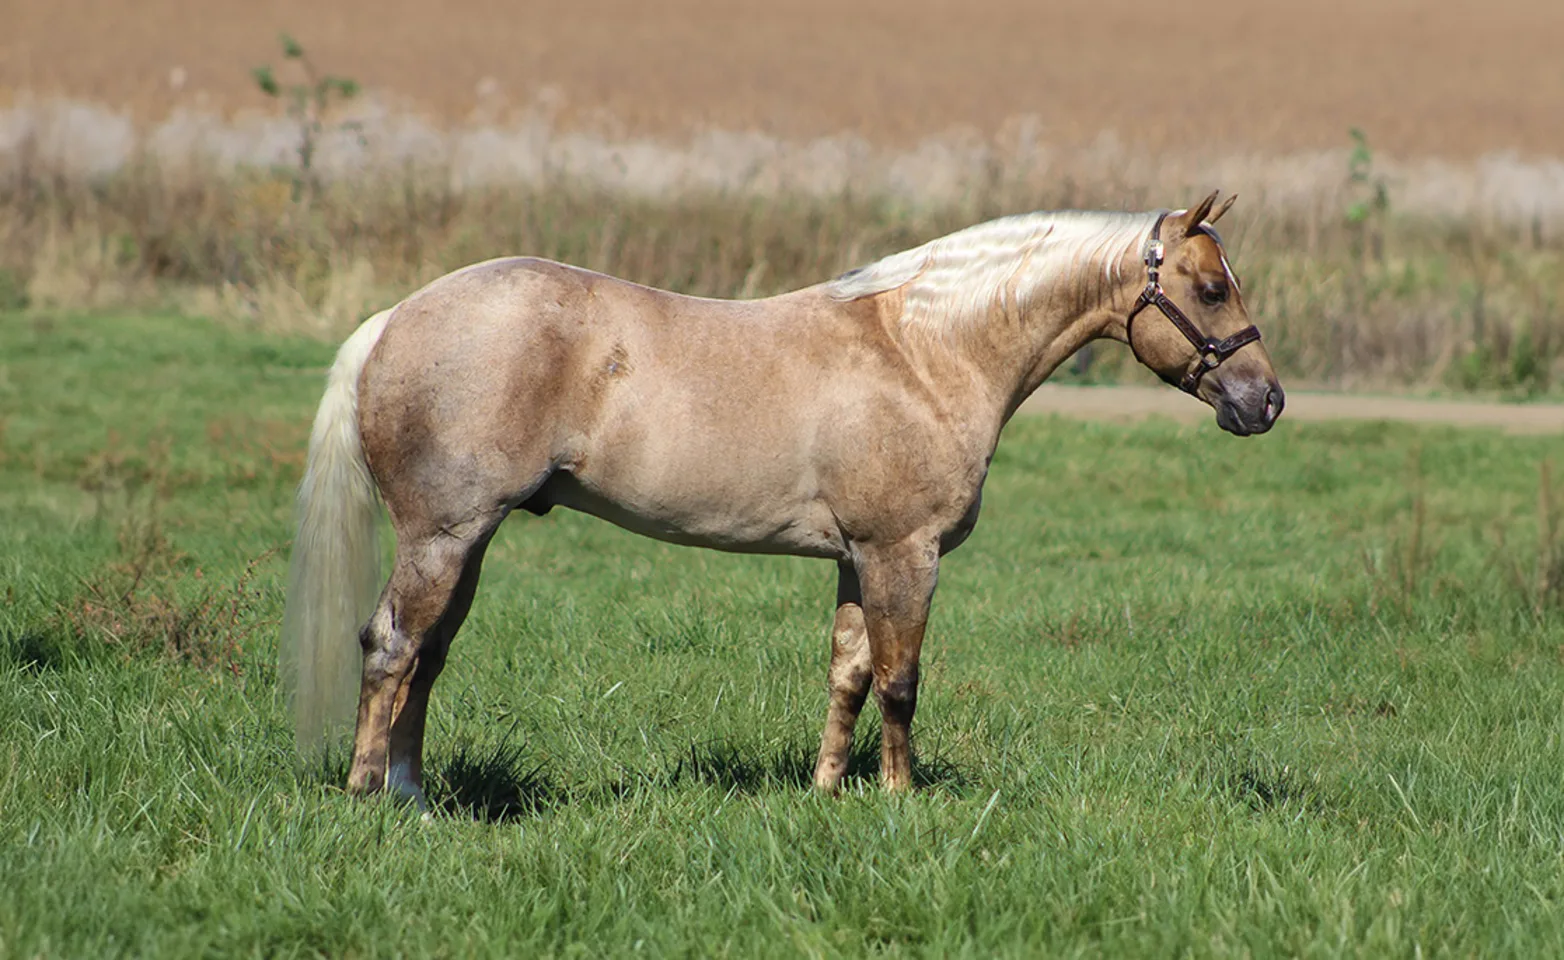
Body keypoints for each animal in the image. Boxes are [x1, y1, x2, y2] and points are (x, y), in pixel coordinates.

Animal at [278, 189, 1282, 806]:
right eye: (1207, 286)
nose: (1265, 400)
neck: (925, 351)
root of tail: (394, 320)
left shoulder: (854, 561)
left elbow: (848, 674)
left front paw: (828, 793)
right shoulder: (903, 555)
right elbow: (901, 681)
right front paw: (902, 799)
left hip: (469, 543)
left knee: (428, 657)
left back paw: (412, 795)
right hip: (443, 538)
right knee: (391, 647)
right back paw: (371, 796)